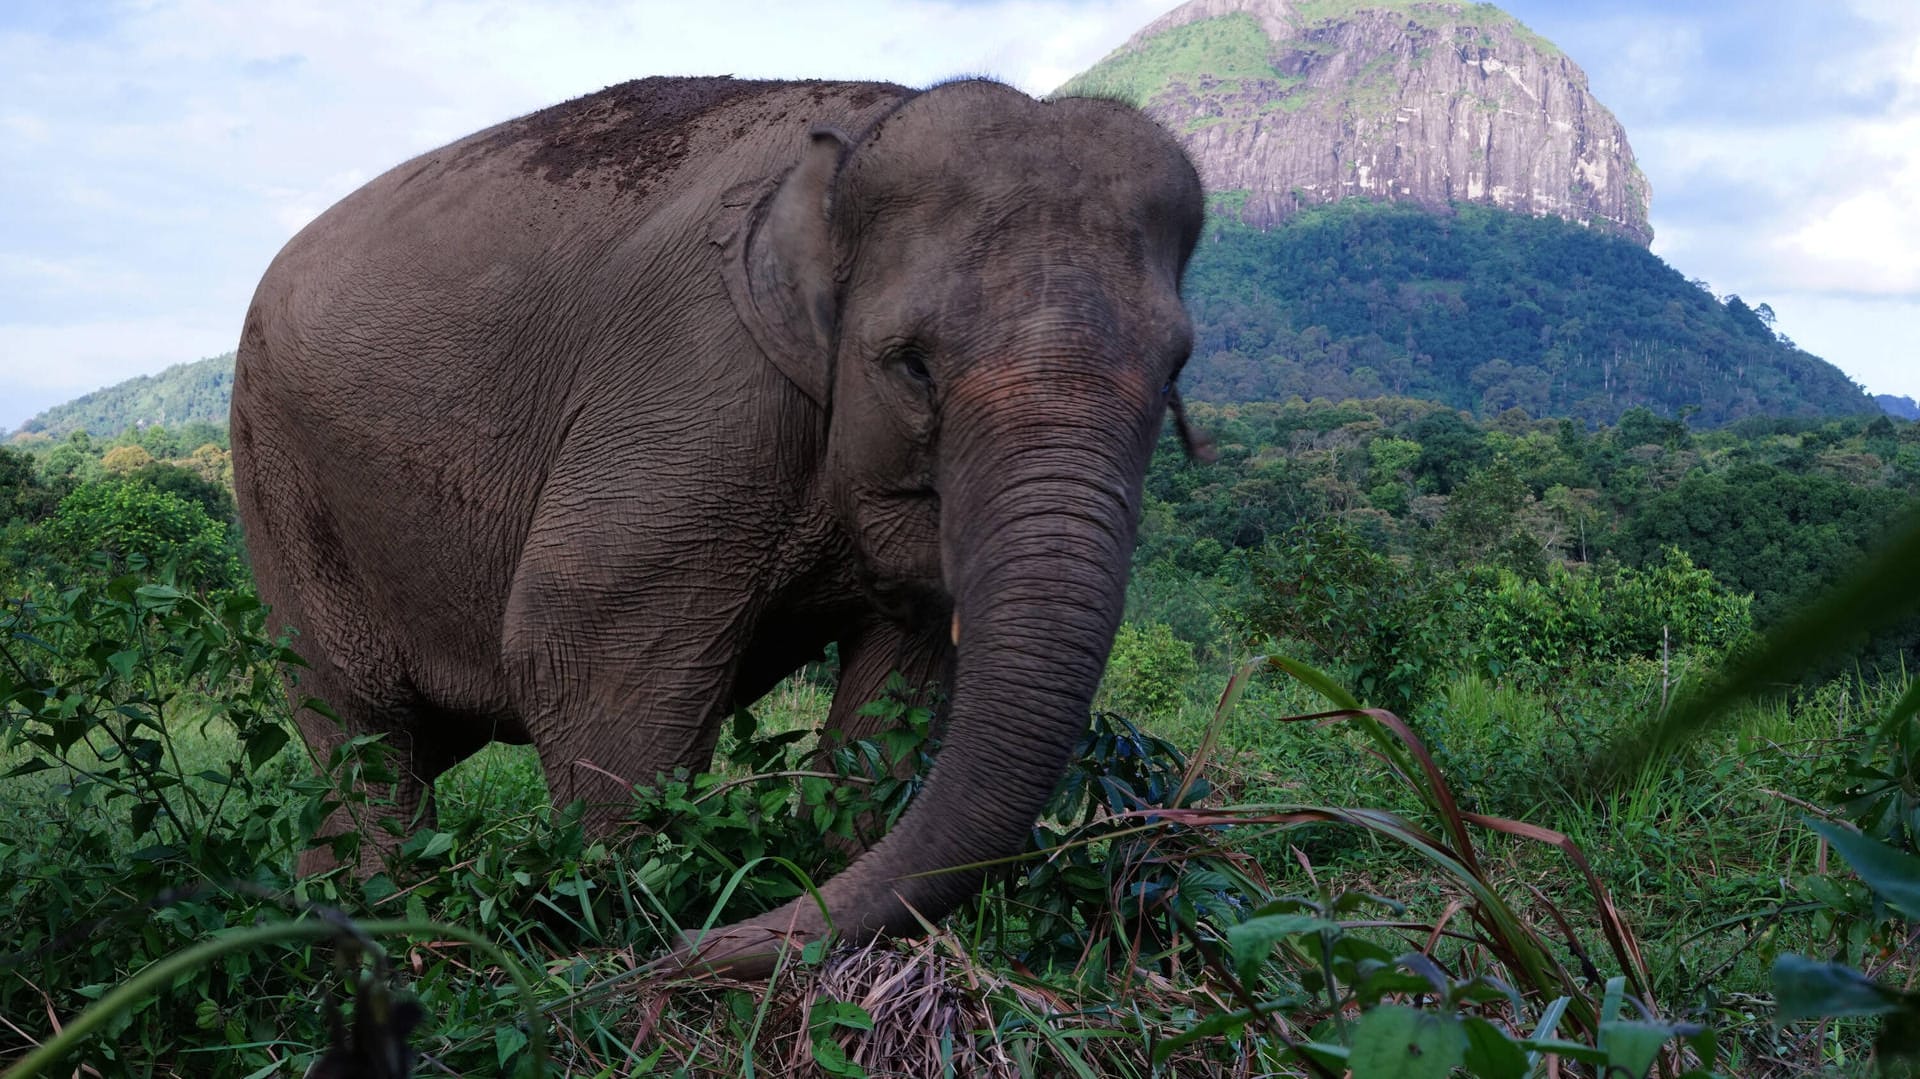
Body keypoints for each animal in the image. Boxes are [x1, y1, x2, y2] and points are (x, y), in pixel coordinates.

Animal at [232, 75, 1205, 967]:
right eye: (914, 366)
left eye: (1174, 371)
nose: (702, 942)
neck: (859, 140)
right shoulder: (700, 381)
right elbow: (579, 642)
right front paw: (619, 928)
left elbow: (905, 687)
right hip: (277, 480)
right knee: (366, 739)